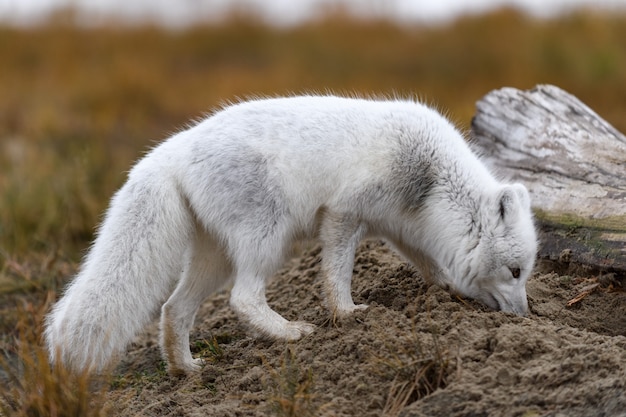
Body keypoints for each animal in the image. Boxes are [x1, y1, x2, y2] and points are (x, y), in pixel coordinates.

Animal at [44, 94, 532, 374]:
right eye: (515, 272)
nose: (526, 317)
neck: (430, 178)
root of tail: (171, 151)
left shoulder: (400, 229)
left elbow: (429, 263)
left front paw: (447, 290)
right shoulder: (343, 212)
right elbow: (337, 272)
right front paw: (347, 314)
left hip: (214, 258)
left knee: (173, 308)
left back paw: (187, 370)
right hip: (268, 238)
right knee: (242, 298)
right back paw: (290, 333)